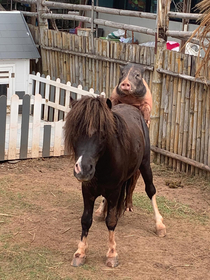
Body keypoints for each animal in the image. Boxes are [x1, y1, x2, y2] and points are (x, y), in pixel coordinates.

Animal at [64, 97, 166, 270]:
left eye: (102, 133)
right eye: (75, 131)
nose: (83, 169)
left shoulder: (114, 190)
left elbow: (111, 221)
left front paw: (112, 254)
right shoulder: (87, 190)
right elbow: (85, 220)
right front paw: (80, 253)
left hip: (145, 164)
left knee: (151, 190)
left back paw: (159, 225)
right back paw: (100, 211)